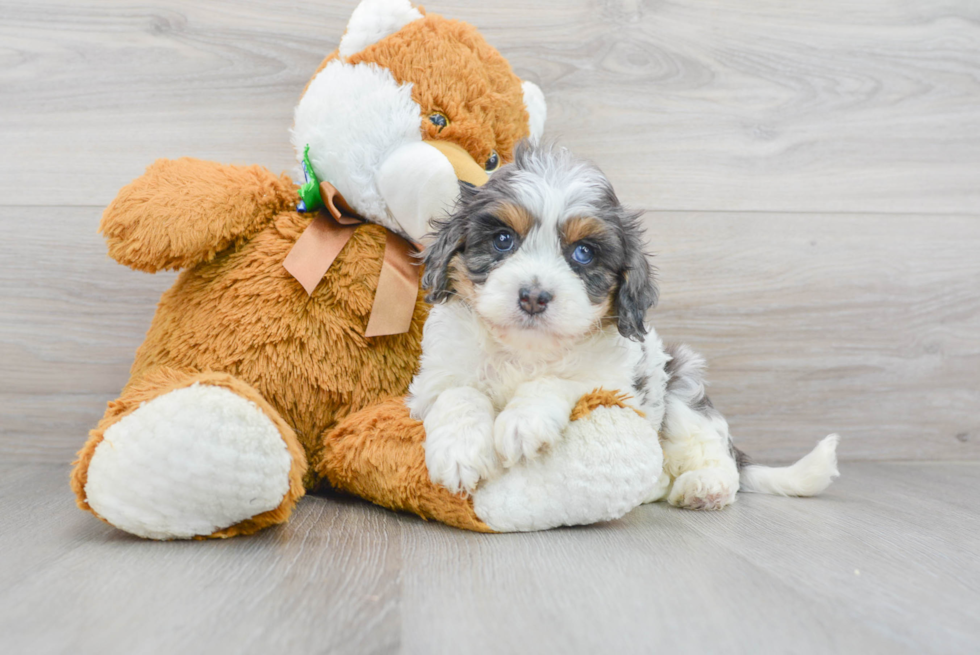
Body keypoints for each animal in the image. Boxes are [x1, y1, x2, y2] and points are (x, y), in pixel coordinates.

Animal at [406, 144, 844, 510]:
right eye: (502, 240)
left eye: (583, 253)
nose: (533, 296)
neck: (527, 350)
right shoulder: (433, 380)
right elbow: (459, 394)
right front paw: (461, 452)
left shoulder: (614, 385)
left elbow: (559, 380)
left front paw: (522, 421)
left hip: (681, 386)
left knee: (713, 453)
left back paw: (705, 487)